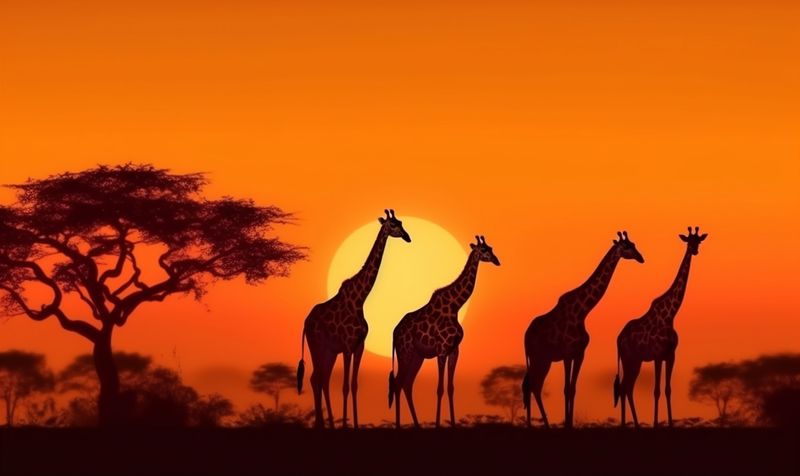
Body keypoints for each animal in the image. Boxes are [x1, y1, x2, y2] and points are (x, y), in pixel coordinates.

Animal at [298, 209, 411, 429]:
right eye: (393, 225)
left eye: (401, 222)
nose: (408, 237)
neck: (360, 299)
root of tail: (306, 322)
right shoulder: (348, 347)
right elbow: (344, 386)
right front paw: (345, 425)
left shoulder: (359, 346)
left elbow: (354, 385)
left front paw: (355, 424)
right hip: (317, 346)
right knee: (316, 378)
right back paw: (322, 424)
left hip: (329, 351)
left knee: (322, 379)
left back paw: (328, 424)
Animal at [388, 235, 500, 428]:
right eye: (484, 250)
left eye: (491, 248)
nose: (497, 261)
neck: (455, 306)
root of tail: (394, 332)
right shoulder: (441, 350)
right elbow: (439, 388)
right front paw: (438, 424)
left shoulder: (454, 350)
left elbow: (450, 388)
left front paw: (453, 424)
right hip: (405, 352)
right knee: (397, 383)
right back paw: (398, 425)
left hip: (417, 357)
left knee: (407, 384)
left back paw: (416, 425)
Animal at [523, 231, 644, 428]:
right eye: (627, 247)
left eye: (634, 244)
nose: (641, 258)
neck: (582, 312)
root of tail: (525, 336)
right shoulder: (567, 354)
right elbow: (566, 389)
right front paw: (566, 425)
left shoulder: (579, 354)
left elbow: (573, 388)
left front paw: (570, 424)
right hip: (538, 357)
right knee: (532, 385)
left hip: (543, 359)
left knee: (532, 385)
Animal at [614, 226, 707, 428]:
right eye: (689, 241)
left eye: (699, 241)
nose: (695, 250)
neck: (671, 315)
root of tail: (618, 338)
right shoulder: (657, 356)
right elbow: (656, 390)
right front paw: (656, 424)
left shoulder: (670, 355)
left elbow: (667, 389)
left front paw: (670, 424)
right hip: (629, 359)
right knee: (625, 387)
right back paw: (627, 425)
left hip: (635, 361)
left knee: (627, 388)